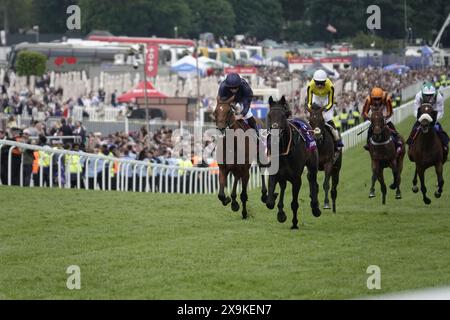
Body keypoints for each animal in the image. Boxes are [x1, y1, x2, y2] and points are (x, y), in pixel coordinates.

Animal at [266, 96, 322, 229]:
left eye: (283, 116)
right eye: (269, 115)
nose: (274, 136)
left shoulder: (296, 179)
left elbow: (294, 203)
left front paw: (295, 223)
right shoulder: (274, 174)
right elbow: (270, 202)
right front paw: (280, 212)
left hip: (313, 164)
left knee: (312, 180)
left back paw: (315, 207)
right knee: (283, 186)